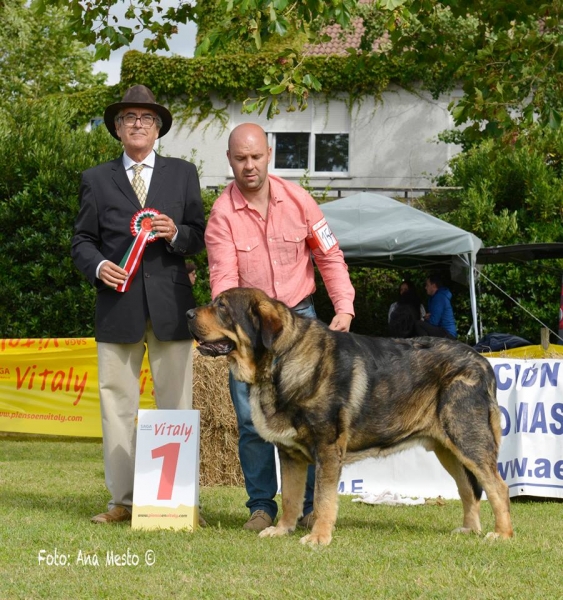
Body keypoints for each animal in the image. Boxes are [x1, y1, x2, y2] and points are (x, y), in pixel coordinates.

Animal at [187, 288, 512, 548]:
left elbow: (323, 498)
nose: (188, 313)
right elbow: (290, 497)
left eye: (222, 306)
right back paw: (470, 529)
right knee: (468, 489)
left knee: (498, 487)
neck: (281, 359)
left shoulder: (328, 448)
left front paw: (319, 537)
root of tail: (483, 363)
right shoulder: (290, 454)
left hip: (467, 439)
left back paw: (502, 534)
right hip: (448, 448)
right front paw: (282, 530)